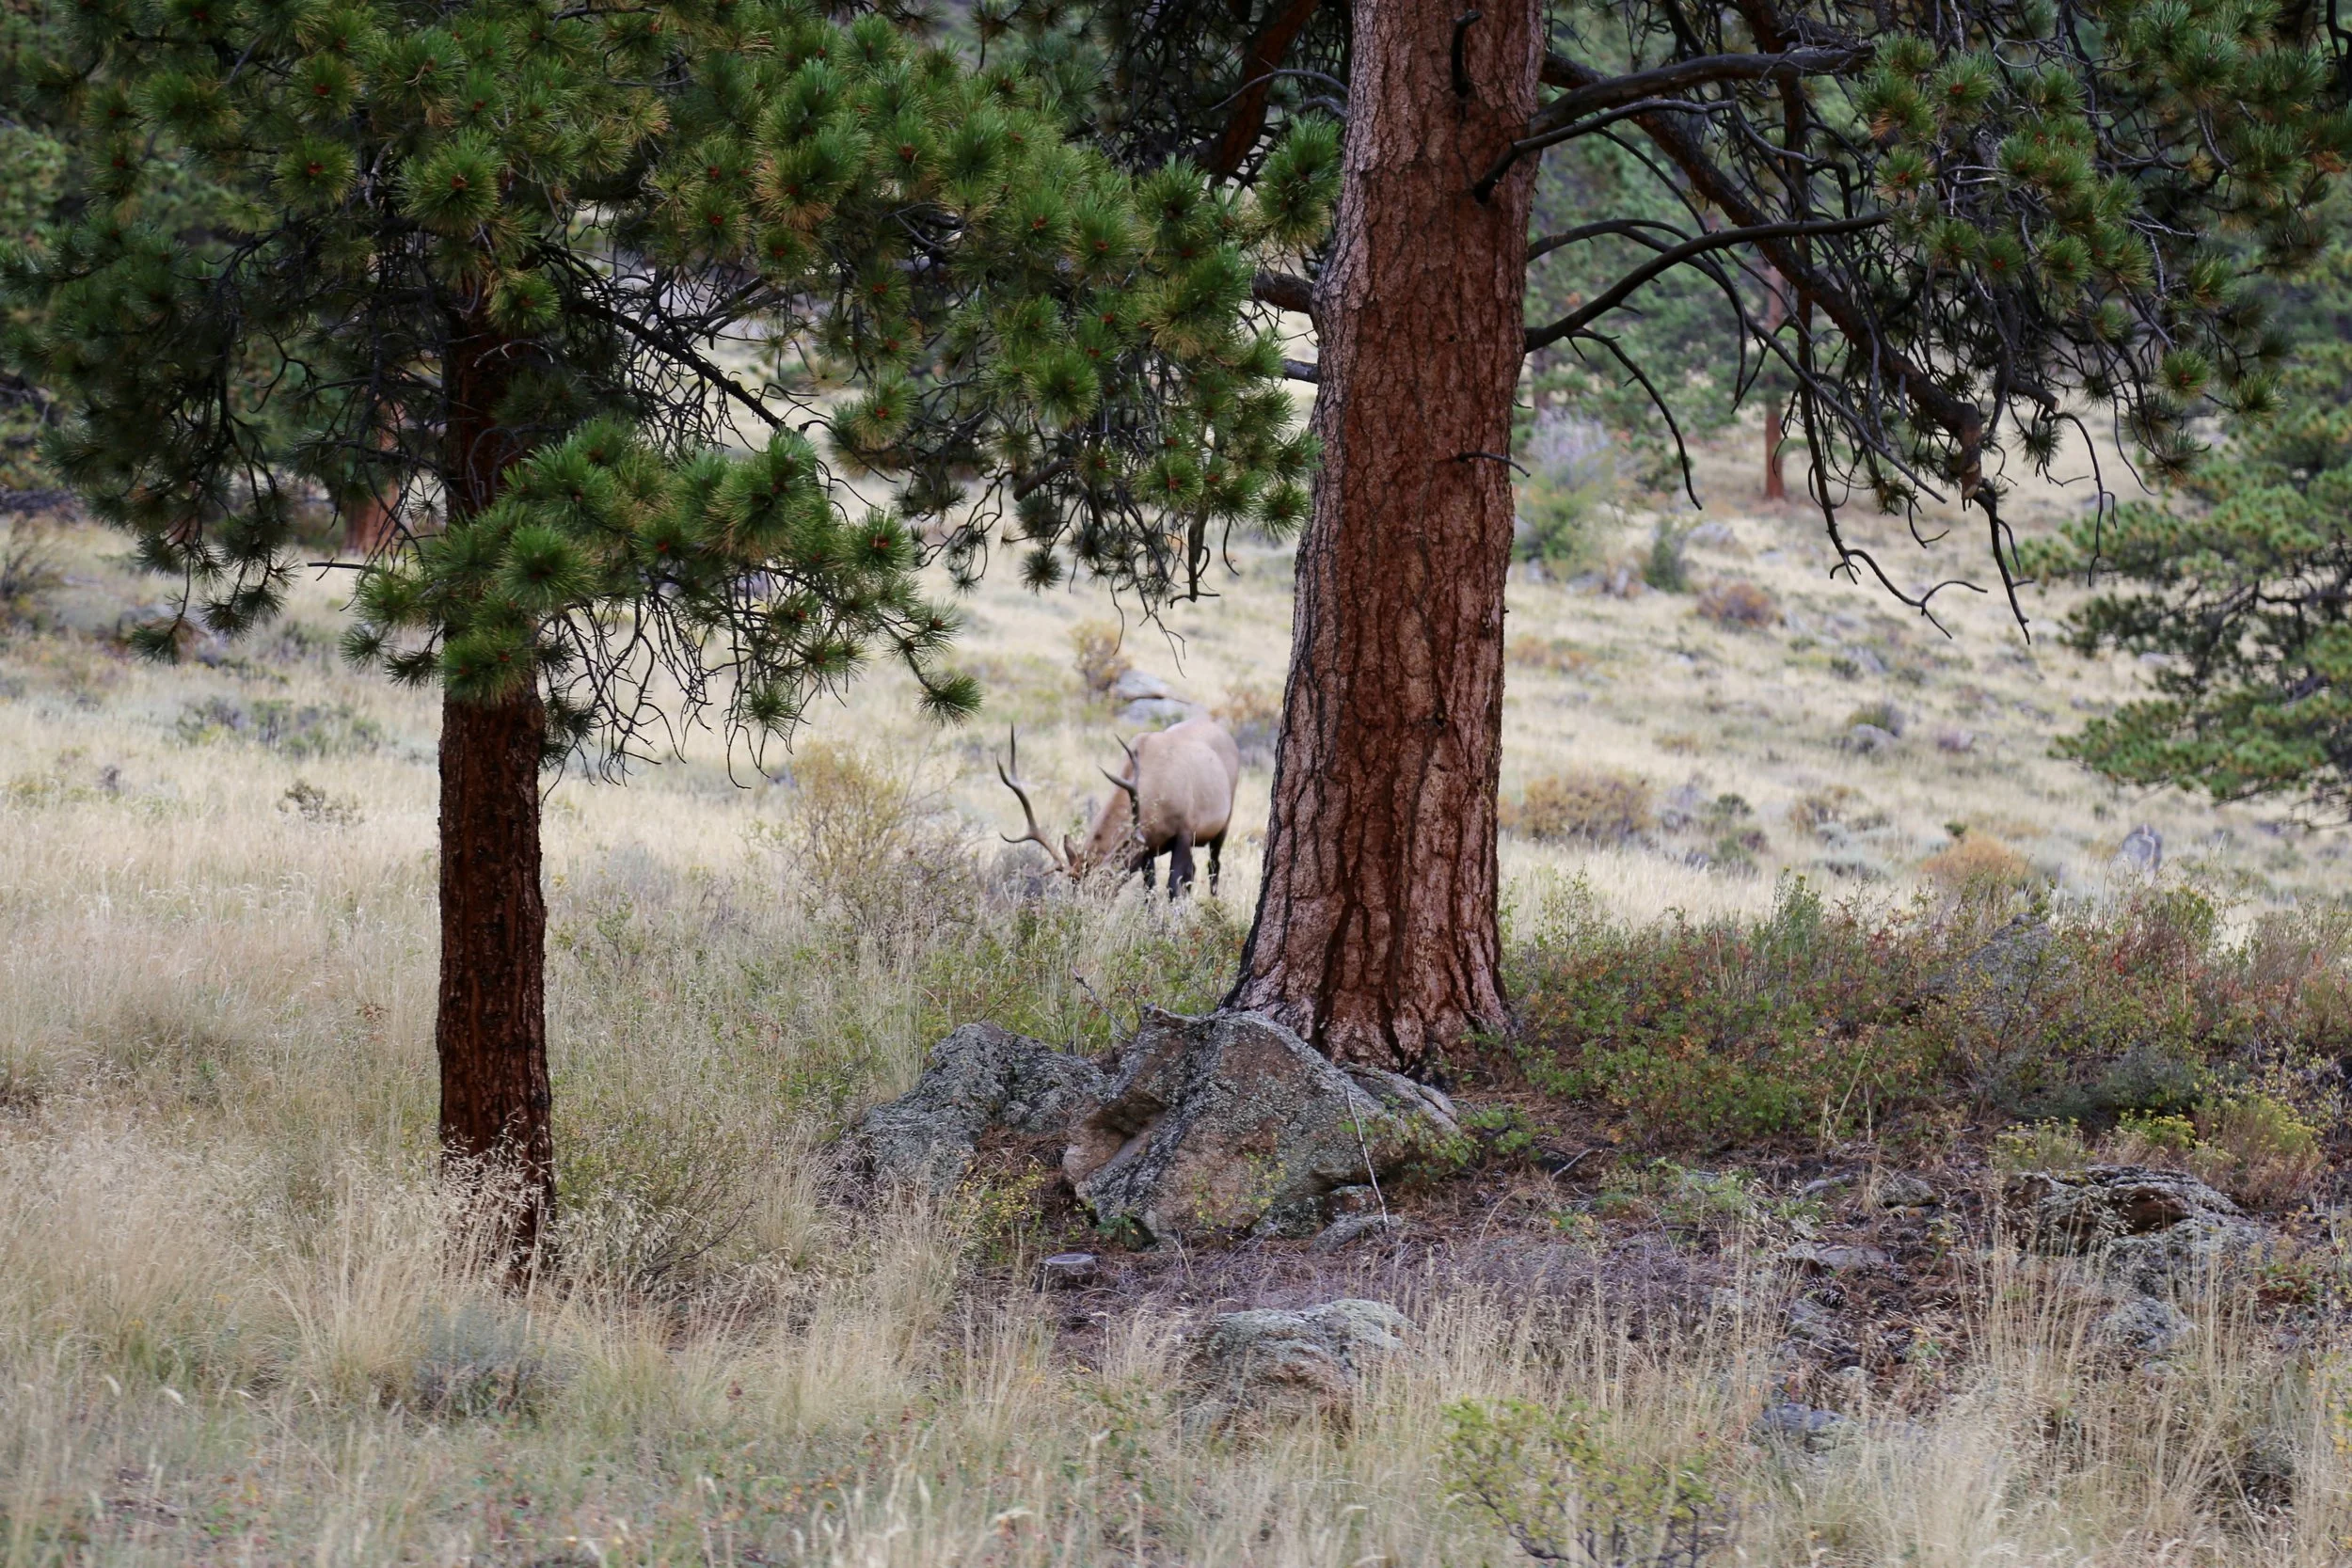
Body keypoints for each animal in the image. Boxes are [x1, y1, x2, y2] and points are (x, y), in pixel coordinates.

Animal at [997, 717, 1242, 897]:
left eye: (1102, 885)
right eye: (1074, 885)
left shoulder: (1185, 831)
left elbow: (1174, 885)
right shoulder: (1147, 846)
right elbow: (1150, 887)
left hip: (1224, 823)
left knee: (1212, 868)